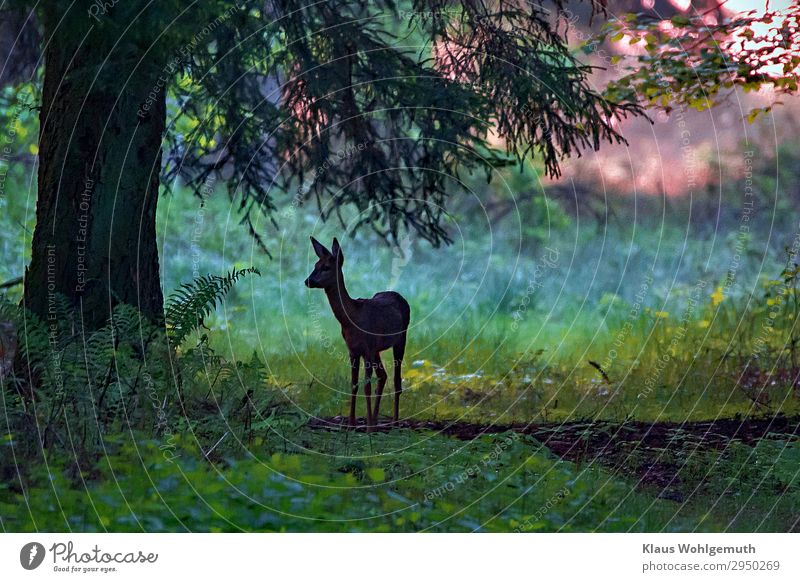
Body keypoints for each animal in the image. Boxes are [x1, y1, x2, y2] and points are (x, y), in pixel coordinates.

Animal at [304, 237, 410, 434]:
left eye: (326, 267)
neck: (351, 318)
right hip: (377, 349)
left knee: (396, 380)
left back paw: (393, 422)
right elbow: (354, 384)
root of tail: (399, 295)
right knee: (383, 376)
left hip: (400, 338)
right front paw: (351, 424)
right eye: (315, 264)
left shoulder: (367, 348)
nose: (308, 281)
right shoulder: (353, 350)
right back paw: (376, 421)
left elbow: (366, 385)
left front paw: (366, 427)